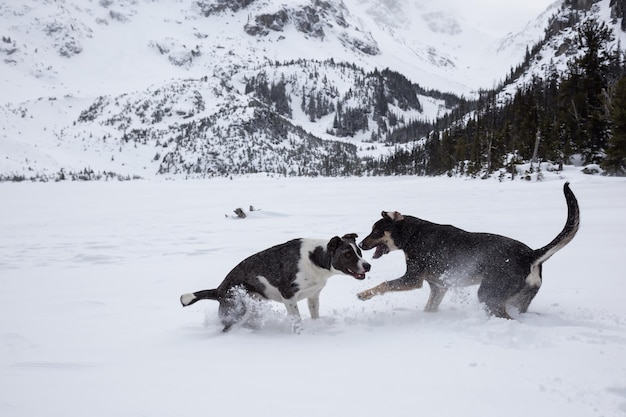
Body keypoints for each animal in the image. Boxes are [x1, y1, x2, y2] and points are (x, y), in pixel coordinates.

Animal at [178, 234, 368, 332]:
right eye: (347, 254)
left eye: (359, 252)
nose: (368, 266)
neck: (315, 258)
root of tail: (219, 290)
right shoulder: (289, 295)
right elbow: (296, 320)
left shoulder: (313, 296)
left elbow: (315, 314)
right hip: (239, 308)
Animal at [354, 182, 576, 318]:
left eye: (376, 231)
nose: (361, 245)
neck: (412, 235)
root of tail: (531, 255)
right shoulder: (439, 287)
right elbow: (429, 308)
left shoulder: (413, 279)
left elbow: (384, 285)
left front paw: (364, 294)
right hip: (518, 299)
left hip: (489, 295)